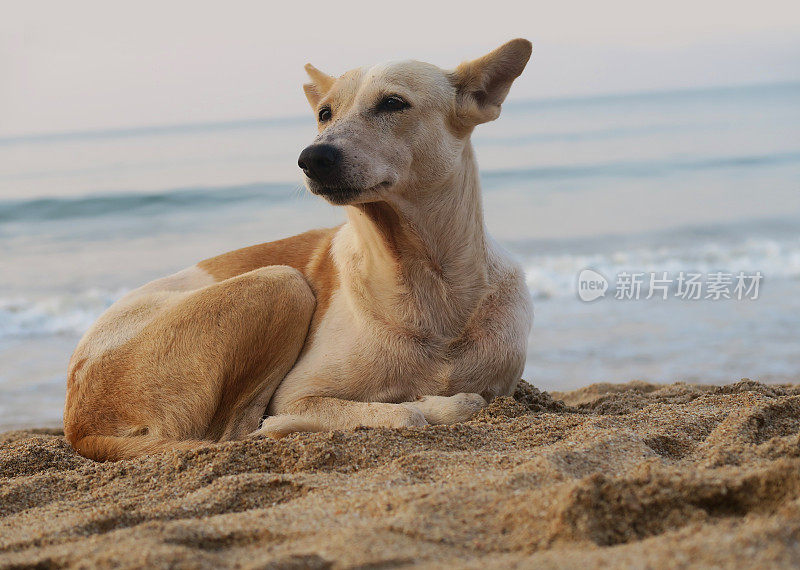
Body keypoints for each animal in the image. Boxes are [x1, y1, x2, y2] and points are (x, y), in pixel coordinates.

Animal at [65, 40, 536, 460]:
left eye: (393, 103)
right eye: (324, 114)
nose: (312, 157)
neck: (425, 280)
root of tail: (77, 426)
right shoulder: (297, 394)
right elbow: (407, 414)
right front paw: (426, 405)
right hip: (282, 282)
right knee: (236, 430)